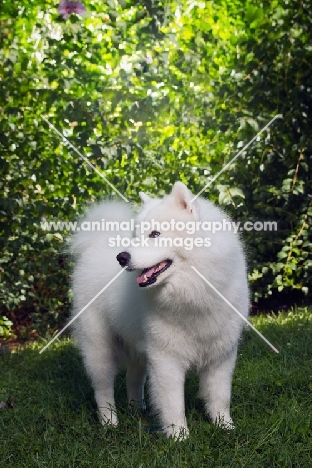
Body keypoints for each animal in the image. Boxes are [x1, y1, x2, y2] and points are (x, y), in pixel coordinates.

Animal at [70, 182, 249, 438]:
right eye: (135, 236)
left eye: (155, 234)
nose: (121, 257)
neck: (195, 292)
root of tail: (95, 244)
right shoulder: (166, 358)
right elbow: (174, 404)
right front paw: (179, 437)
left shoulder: (221, 355)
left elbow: (220, 397)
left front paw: (225, 427)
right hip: (99, 348)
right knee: (103, 389)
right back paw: (109, 422)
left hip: (138, 349)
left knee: (133, 378)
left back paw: (137, 409)